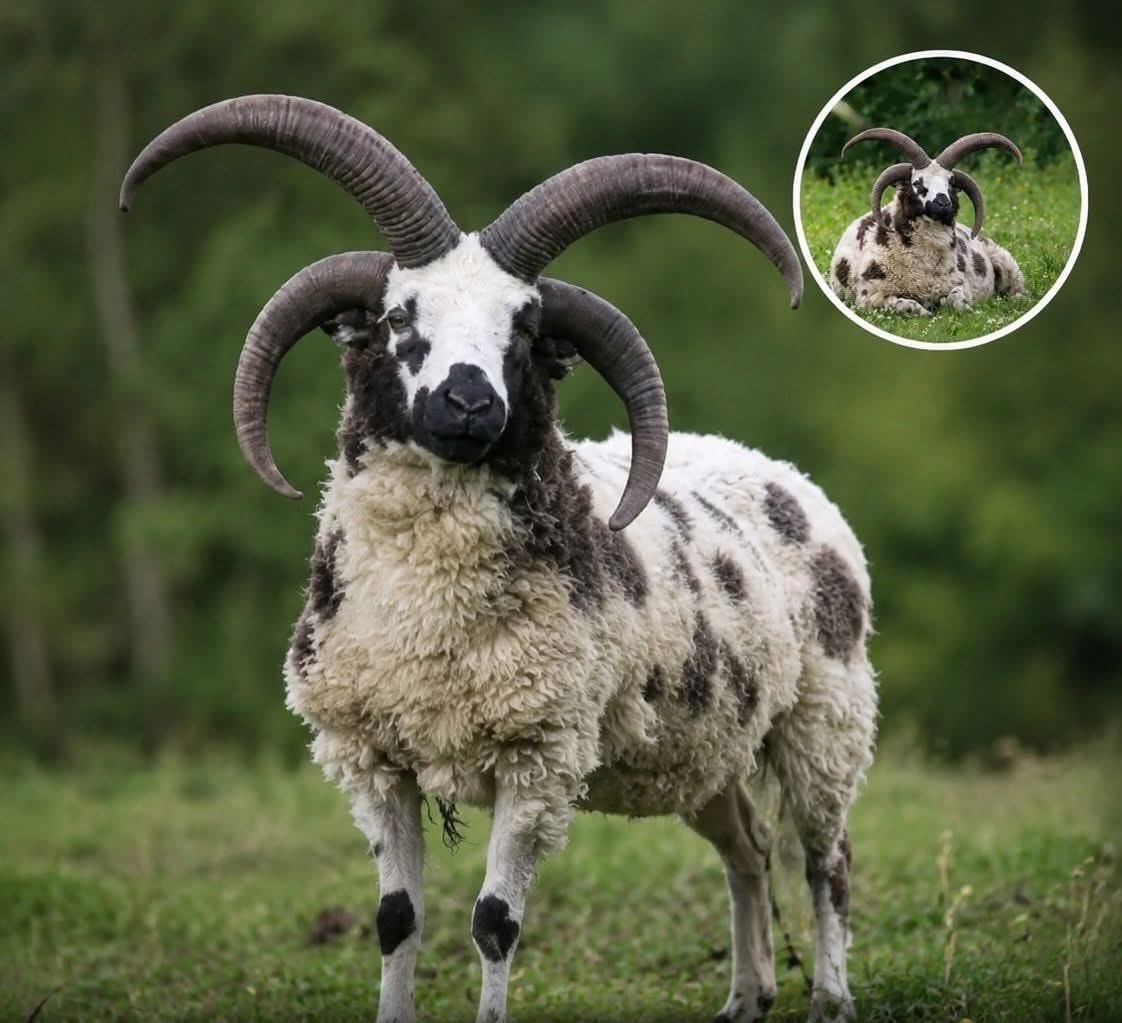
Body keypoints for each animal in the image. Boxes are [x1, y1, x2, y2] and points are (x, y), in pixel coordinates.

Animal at [121, 94, 877, 1023]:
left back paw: (830, 997)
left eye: (524, 329)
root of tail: (783, 474)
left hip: (826, 718)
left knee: (826, 858)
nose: (468, 402)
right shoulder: (374, 759)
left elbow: (493, 921)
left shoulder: (538, 756)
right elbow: (395, 917)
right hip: (709, 749)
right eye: (399, 316)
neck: (429, 619)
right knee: (748, 848)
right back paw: (746, 996)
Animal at [828, 128, 1025, 316]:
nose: (943, 203)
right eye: (917, 183)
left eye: (951, 183)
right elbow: (905, 304)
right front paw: (924, 312)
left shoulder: (960, 285)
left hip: (1006, 264)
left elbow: (956, 299)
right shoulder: (868, 298)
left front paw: (965, 308)